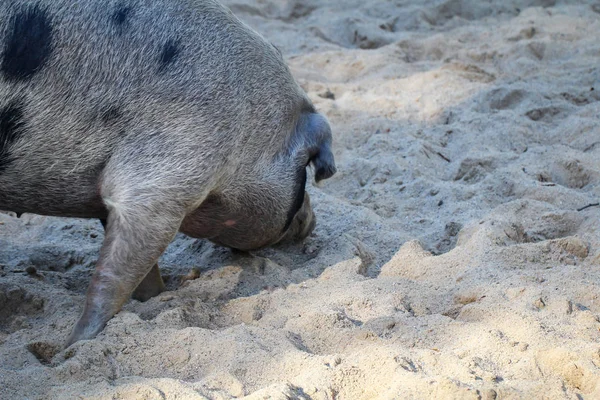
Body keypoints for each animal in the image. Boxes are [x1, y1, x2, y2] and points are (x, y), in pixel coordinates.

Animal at [0, 0, 336, 346]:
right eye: (305, 172)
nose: (312, 221)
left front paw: (158, 296)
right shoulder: (168, 172)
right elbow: (117, 273)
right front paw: (72, 345)